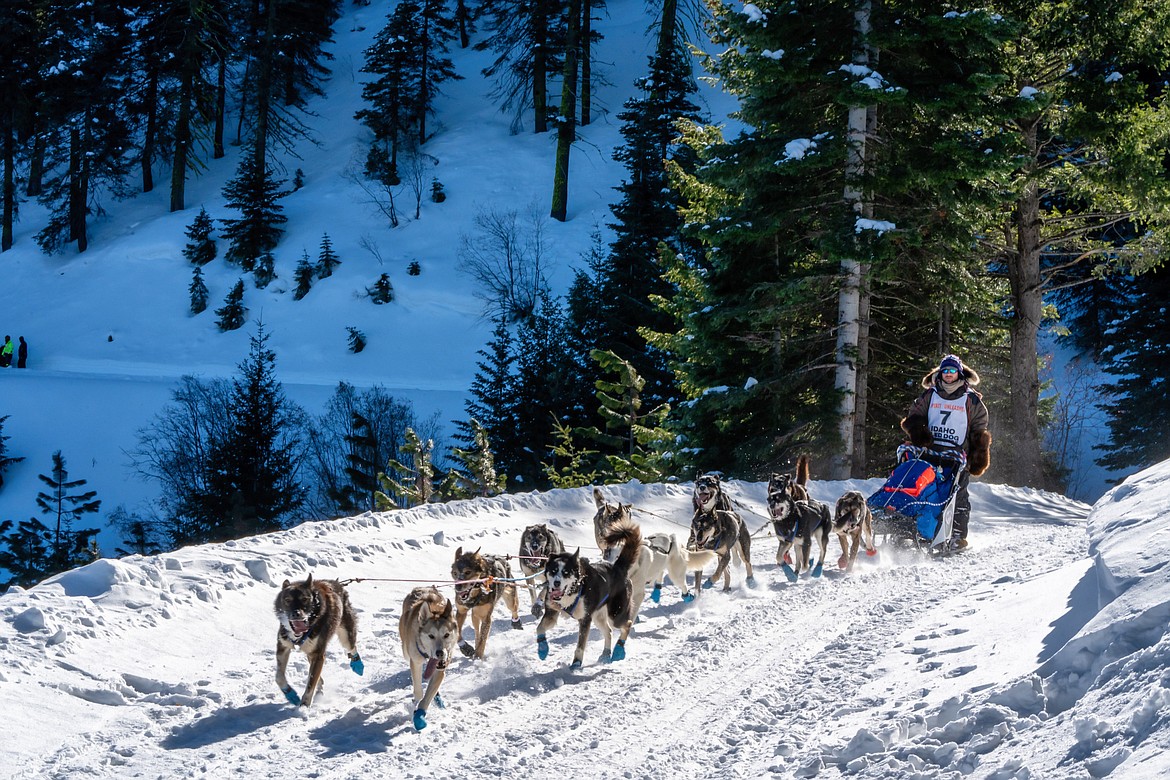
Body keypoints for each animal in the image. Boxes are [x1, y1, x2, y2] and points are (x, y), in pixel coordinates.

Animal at [274, 573, 362, 706]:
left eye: (304, 599)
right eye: (287, 600)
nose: (296, 614)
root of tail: (337, 583)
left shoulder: (318, 654)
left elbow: (311, 683)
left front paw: (304, 707)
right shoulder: (283, 647)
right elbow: (279, 677)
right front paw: (290, 693)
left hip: (345, 634)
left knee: (351, 647)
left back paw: (357, 664)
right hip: (310, 651)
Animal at [400, 584, 458, 734]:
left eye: (446, 634)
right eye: (431, 636)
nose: (440, 653)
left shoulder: (441, 668)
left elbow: (428, 696)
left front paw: (420, 715)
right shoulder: (415, 662)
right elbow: (419, 692)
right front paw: (414, 706)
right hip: (406, 651)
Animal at [535, 519, 645, 673]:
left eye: (566, 572)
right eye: (553, 570)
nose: (556, 583)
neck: (575, 589)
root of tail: (618, 567)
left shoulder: (585, 620)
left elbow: (580, 646)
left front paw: (576, 663)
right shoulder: (551, 613)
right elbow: (539, 628)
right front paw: (543, 648)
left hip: (615, 615)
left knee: (627, 624)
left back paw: (618, 651)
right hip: (599, 616)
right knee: (609, 631)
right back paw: (606, 653)